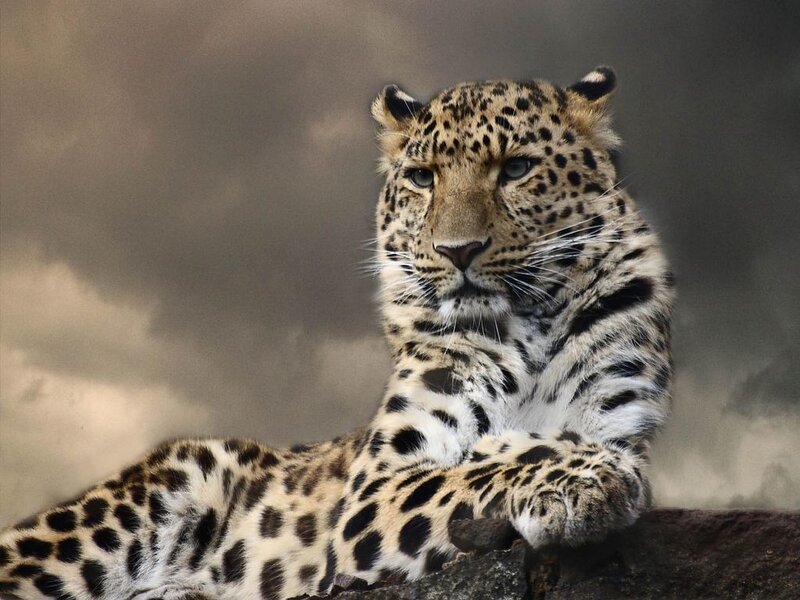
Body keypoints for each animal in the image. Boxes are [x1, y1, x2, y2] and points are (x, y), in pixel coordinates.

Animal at [0, 66, 674, 600]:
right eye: (424, 178)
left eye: (517, 168)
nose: (456, 251)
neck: (525, 326)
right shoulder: (374, 490)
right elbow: (482, 467)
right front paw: (574, 476)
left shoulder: (619, 417)